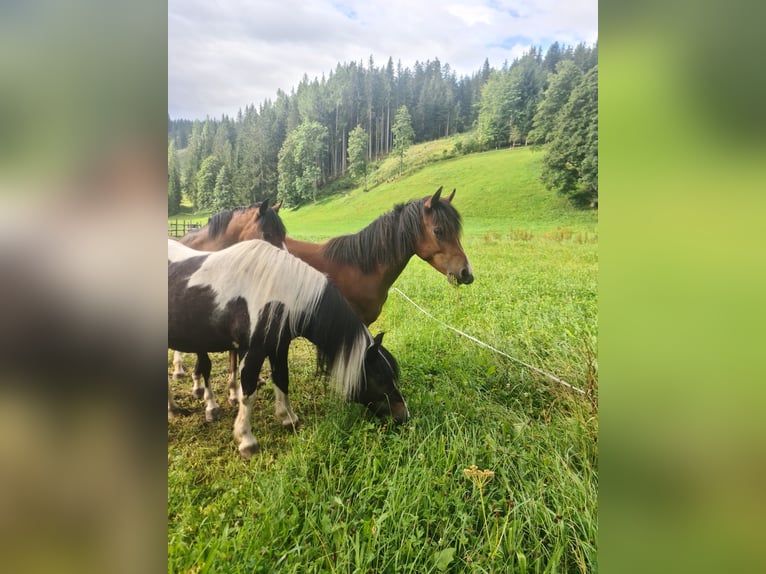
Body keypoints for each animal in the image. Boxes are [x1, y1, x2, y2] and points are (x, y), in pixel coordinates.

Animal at [167, 238, 408, 458]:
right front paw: (247, 441)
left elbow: (282, 379)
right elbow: (248, 394)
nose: (403, 415)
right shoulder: (253, 351)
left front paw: (289, 419)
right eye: (381, 379)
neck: (279, 294)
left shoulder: (278, 347)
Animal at [170, 199, 286, 402]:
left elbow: (232, 356)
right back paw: (180, 371)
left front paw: (233, 391)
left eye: (284, 234)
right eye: (267, 234)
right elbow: (204, 361)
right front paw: (202, 389)